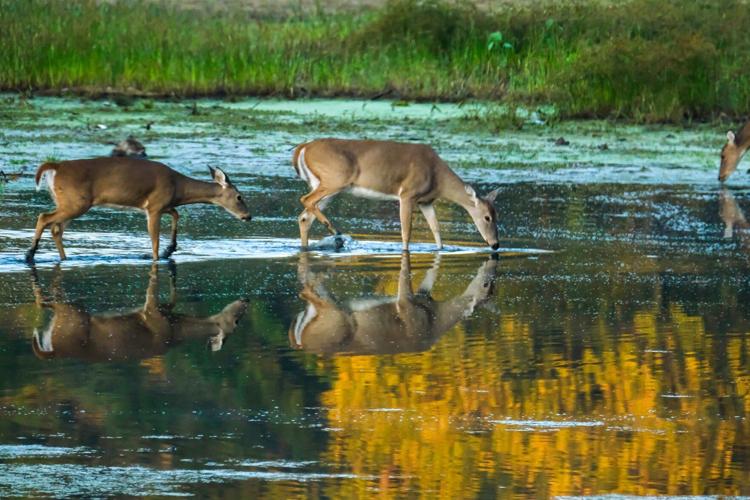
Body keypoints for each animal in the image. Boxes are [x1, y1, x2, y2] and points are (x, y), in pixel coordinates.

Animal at [26, 157, 251, 263]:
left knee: (56, 228)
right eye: (239, 197)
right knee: (44, 217)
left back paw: (63, 258)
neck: (178, 187)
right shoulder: (155, 206)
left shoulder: (161, 205)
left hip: (68, 202)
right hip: (76, 202)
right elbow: (154, 238)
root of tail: (56, 167)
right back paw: (29, 254)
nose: (248, 216)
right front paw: (158, 256)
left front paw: (170, 249)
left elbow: (176, 214)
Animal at [30, 263, 248, 362]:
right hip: (72, 315)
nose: (246, 300)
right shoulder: (153, 314)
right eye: (236, 321)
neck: (176, 327)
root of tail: (54, 350)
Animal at [288, 252, 498, 356]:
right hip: (334, 316)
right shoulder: (408, 307)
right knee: (307, 291)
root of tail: (299, 342)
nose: (490, 270)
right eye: (486, 286)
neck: (435, 317)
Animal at [291, 139, 501, 251]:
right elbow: (406, 232)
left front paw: (441, 249)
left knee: (304, 217)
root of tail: (304, 148)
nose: (496, 244)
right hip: (334, 179)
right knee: (305, 200)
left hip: (328, 185)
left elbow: (436, 228)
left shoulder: (426, 201)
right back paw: (334, 229)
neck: (438, 178)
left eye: (496, 215)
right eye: (487, 217)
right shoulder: (408, 194)